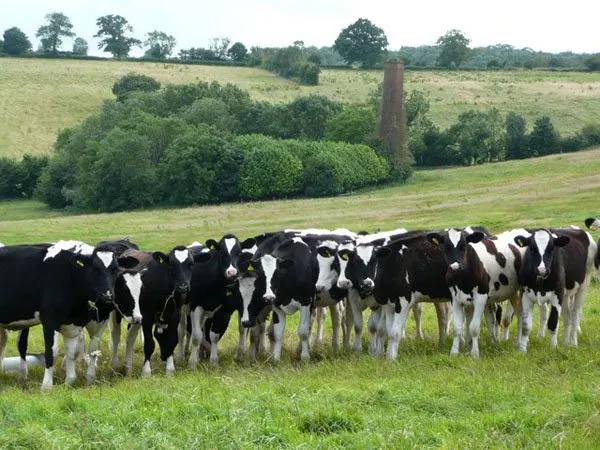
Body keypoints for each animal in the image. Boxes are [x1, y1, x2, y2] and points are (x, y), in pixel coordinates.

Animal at [0, 241, 137, 388]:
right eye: (95, 269)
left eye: (116, 270)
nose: (107, 296)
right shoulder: (49, 320)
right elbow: (51, 352)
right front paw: (47, 385)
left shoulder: (80, 322)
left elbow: (76, 351)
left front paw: (72, 381)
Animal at [428, 229, 524, 358]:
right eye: (446, 247)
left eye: (463, 246)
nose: (455, 267)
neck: (462, 280)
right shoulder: (455, 299)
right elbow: (457, 328)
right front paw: (454, 352)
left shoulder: (480, 298)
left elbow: (473, 327)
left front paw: (474, 353)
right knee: (492, 318)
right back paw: (494, 343)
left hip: (519, 292)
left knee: (520, 315)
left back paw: (519, 344)